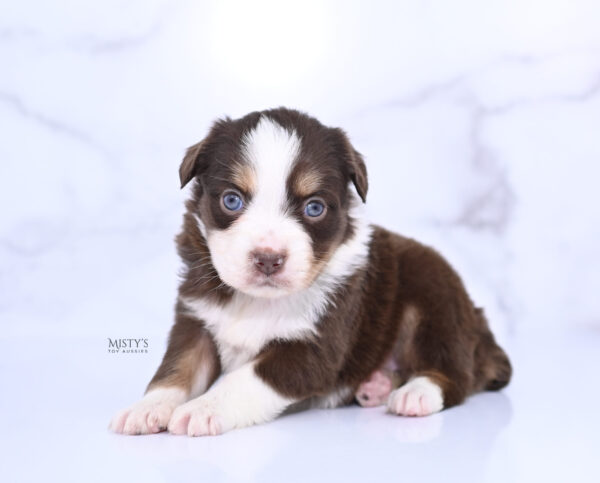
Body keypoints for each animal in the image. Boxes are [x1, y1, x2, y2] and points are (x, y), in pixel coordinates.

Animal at [109, 108, 510, 436]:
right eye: (232, 200)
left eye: (314, 207)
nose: (268, 259)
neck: (256, 301)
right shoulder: (196, 322)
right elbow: (177, 369)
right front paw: (146, 408)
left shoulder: (314, 347)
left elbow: (245, 378)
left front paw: (203, 409)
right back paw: (376, 386)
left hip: (434, 301)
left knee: (454, 372)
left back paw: (415, 393)